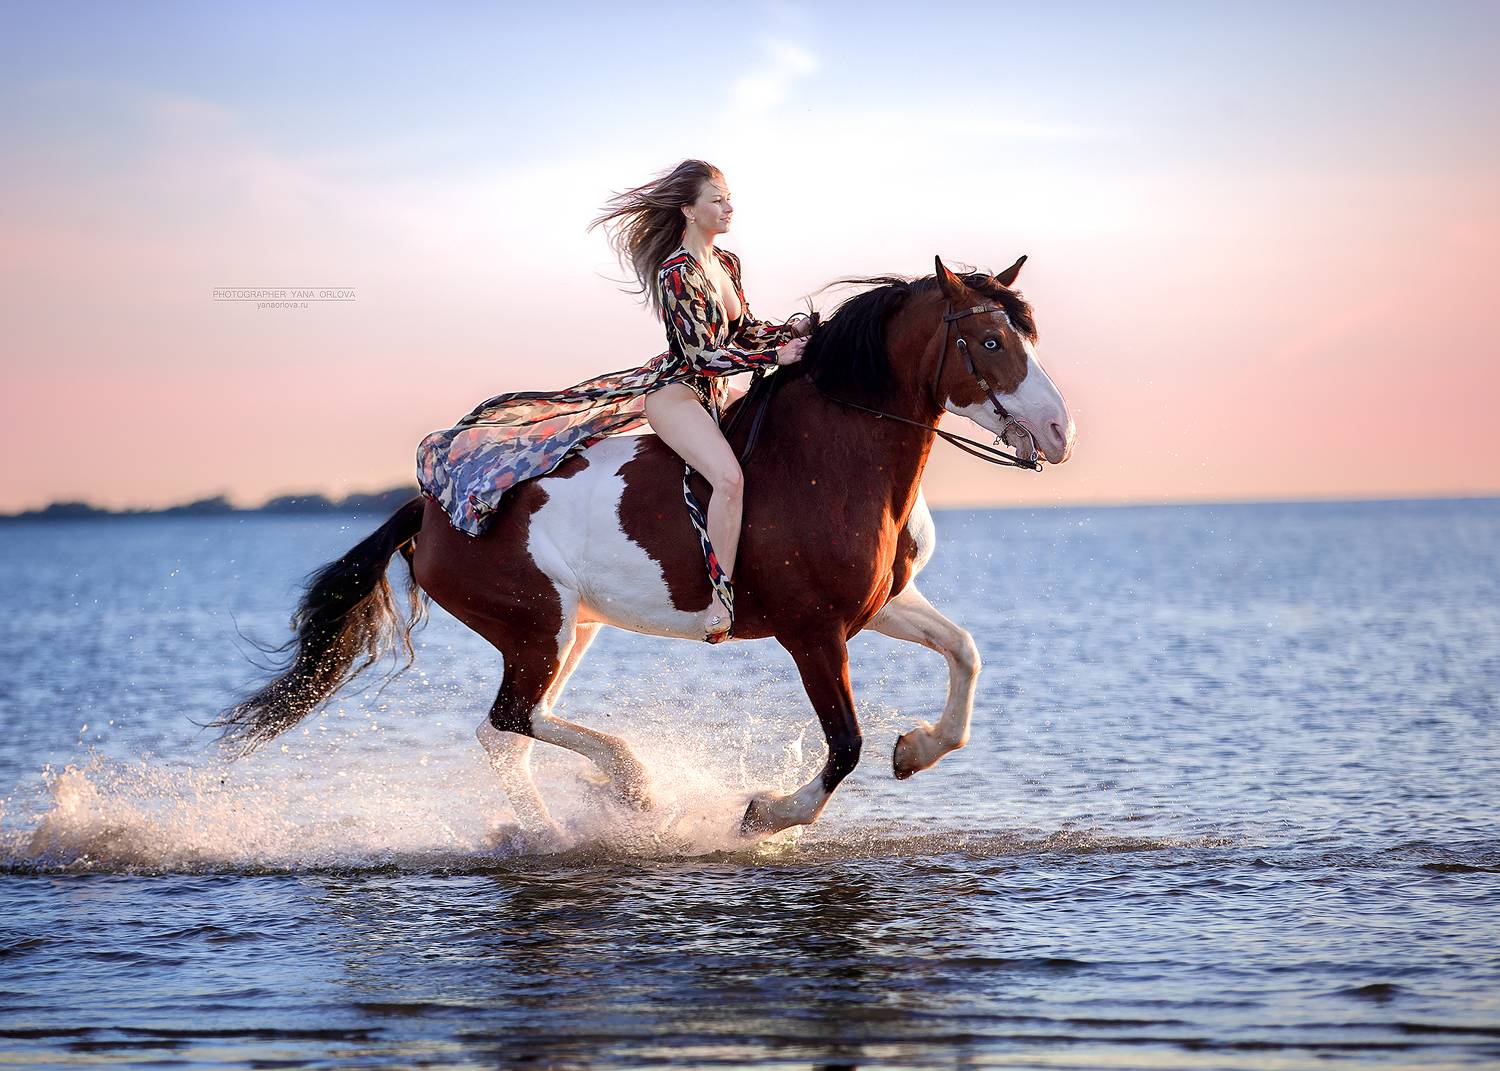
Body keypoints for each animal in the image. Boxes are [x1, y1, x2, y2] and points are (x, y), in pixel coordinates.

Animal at [214, 256, 1075, 837]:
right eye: (990, 341)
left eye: (1027, 334)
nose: (1059, 431)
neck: (831, 458)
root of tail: (428, 511)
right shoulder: (812, 631)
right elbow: (844, 744)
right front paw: (765, 813)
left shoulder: (880, 604)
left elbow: (964, 653)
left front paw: (918, 748)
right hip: (537, 627)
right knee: (513, 720)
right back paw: (631, 788)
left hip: (568, 632)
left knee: (506, 733)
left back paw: (559, 828)